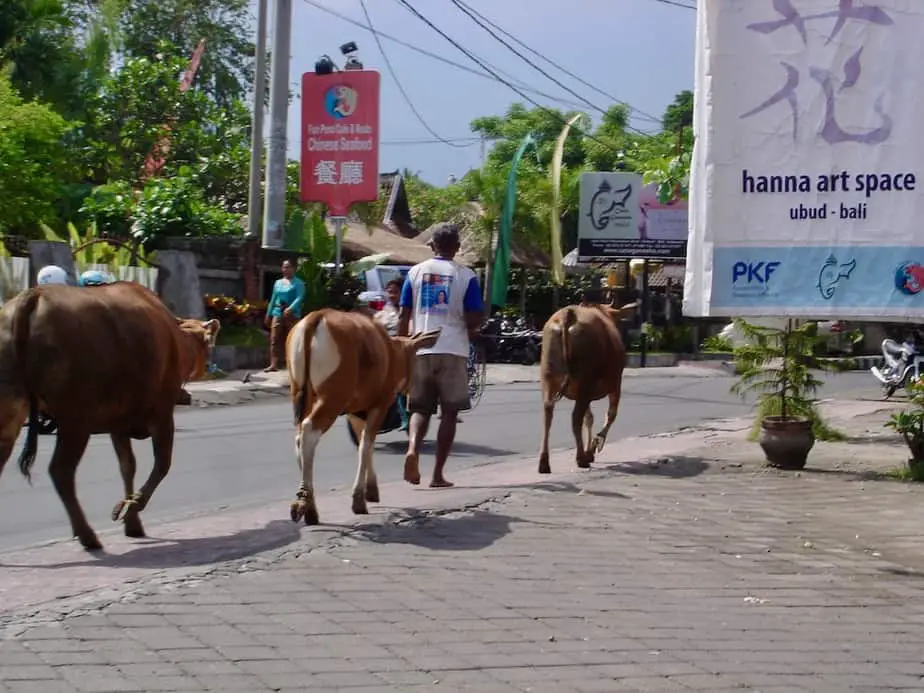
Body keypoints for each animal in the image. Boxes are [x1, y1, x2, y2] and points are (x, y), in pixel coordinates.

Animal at [286, 308, 440, 524]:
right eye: (416, 359)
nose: (411, 392)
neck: (393, 352)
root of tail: (315, 318)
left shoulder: (355, 410)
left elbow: (362, 443)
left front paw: (371, 490)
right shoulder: (380, 403)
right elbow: (367, 444)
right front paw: (359, 498)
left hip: (299, 391)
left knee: (299, 437)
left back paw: (310, 505)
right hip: (333, 397)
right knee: (309, 432)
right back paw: (305, 503)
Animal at [536, 300, 640, 474]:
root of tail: (569, 314)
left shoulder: (586, 393)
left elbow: (589, 418)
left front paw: (591, 447)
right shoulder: (615, 384)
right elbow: (611, 415)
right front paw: (594, 445)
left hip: (548, 378)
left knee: (548, 414)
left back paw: (544, 462)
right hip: (586, 379)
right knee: (575, 418)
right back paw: (581, 458)